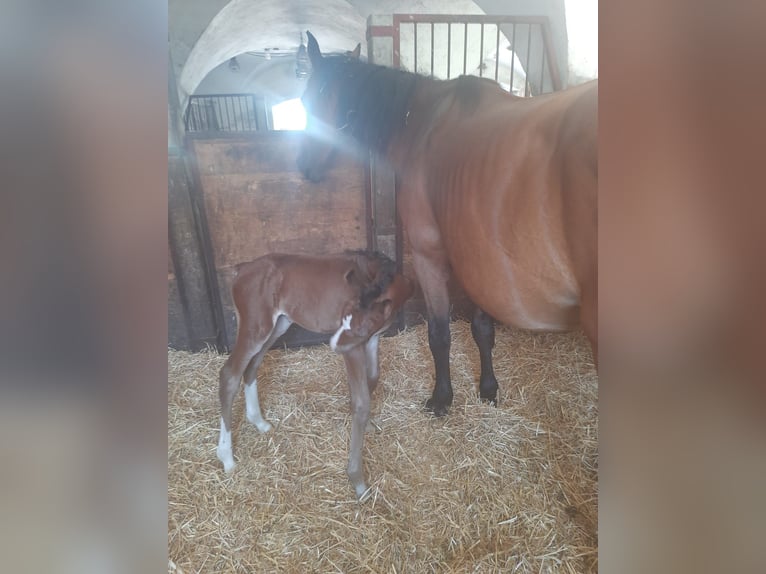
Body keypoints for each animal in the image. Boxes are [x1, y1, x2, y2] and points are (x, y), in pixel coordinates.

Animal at [300, 31, 600, 416]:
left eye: (312, 99)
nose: (304, 167)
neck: (423, 123)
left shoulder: (429, 256)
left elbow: (440, 334)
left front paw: (441, 398)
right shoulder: (481, 263)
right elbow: (483, 329)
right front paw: (488, 389)